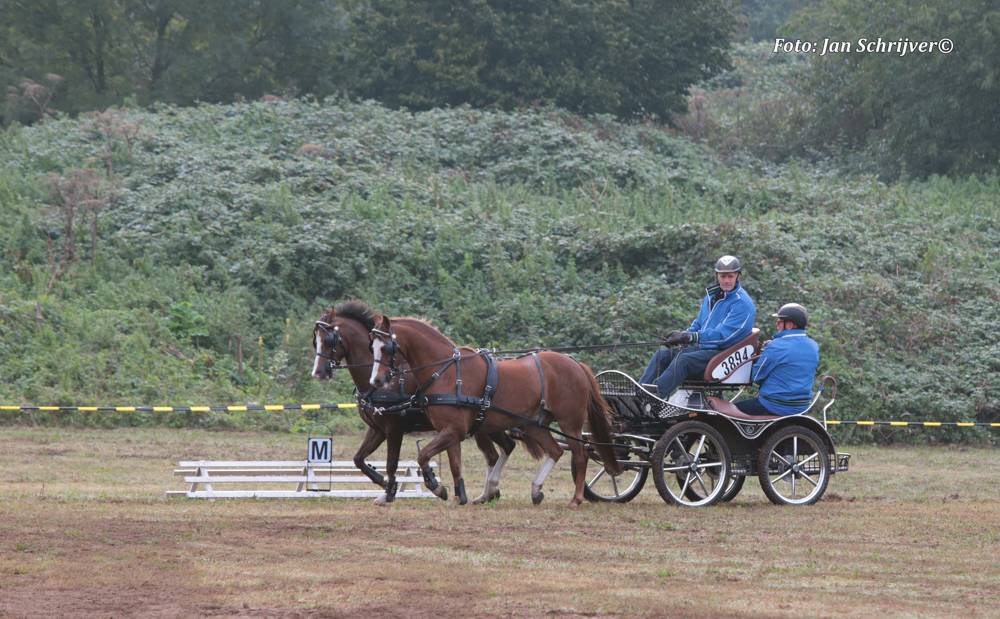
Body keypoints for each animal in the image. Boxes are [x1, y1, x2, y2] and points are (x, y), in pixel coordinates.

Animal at [310, 302, 516, 506]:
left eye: (328, 340)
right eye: (315, 340)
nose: (318, 373)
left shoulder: (394, 429)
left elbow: (391, 463)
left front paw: (391, 492)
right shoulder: (377, 429)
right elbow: (358, 459)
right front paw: (383, 482)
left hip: (484, 427)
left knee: (498, 452)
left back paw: (489, 492)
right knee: (503, 449)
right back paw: (489, 493)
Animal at [372, 318, 620, 506]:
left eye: (386, 347)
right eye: (370, 346)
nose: (376, 381)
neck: (448, 372)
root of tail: (576, 364)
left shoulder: (455, 430)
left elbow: (423, 455)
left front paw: (436, 486)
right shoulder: (449, 430)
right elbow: (452, 462)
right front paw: (459, 494)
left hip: (570, 423)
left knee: (580, 455)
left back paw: (576, 499)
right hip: (534, 424)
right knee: (556, 451)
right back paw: (535, 490)